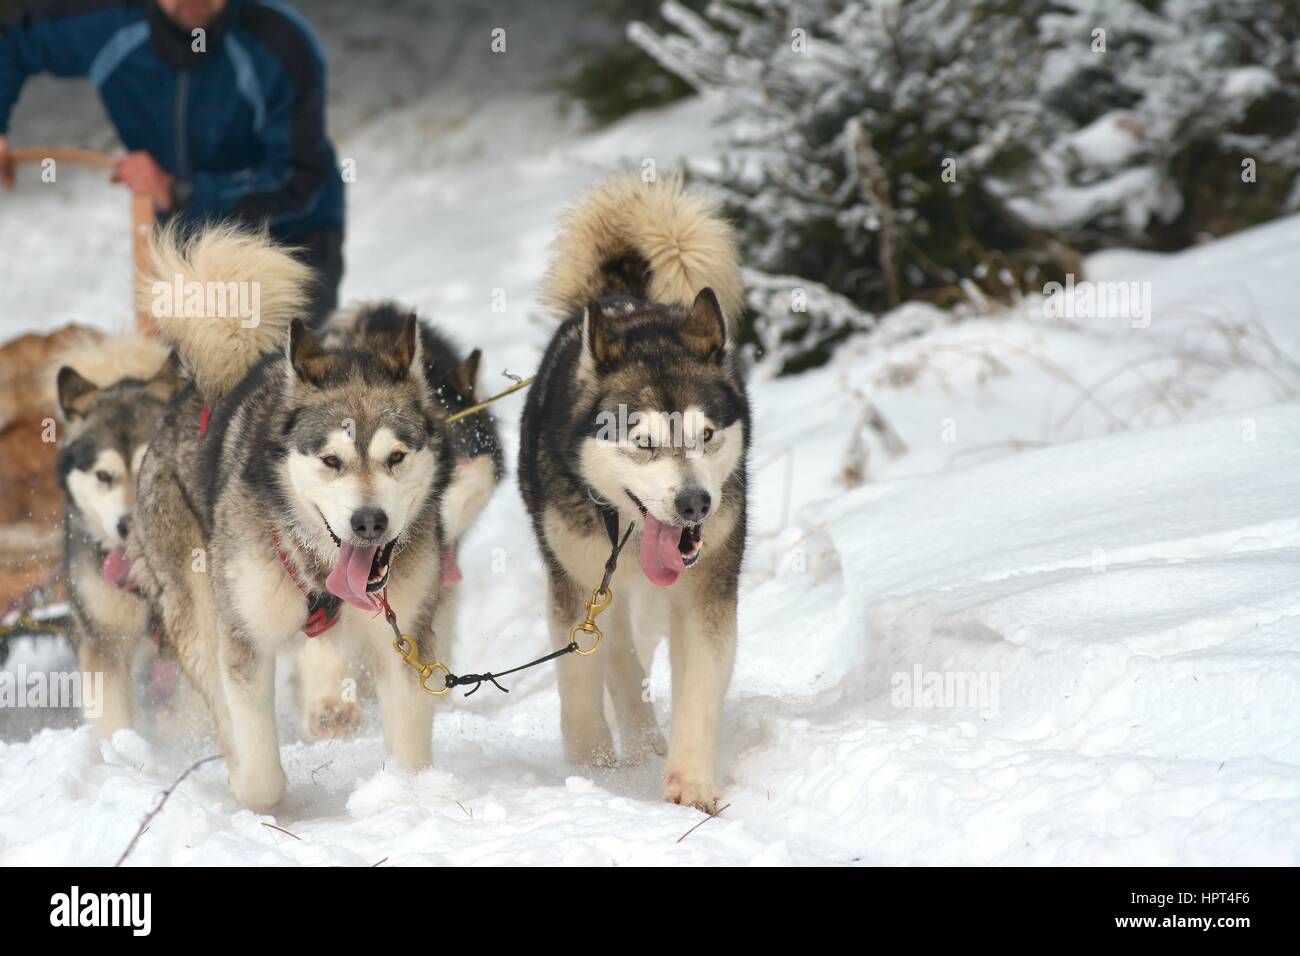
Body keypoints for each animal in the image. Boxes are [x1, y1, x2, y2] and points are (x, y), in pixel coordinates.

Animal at [132, 223, 457, 806]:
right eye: (331, 460)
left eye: (396, 457)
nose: (369, 522)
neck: (319, 568)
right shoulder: (245, 643)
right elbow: (259, 769)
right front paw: (254, 795)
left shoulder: (403, 639)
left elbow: (410, 747)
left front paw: (405, 796)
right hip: (198, 607)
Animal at [512, 174, 748, 816]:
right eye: (642, 442)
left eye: (706, 435)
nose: (695, 504)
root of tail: (620, 298)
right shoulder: (575, 580)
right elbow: (583, 676)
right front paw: (591, 766)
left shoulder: (706, 588)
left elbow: (699, 683)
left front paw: (690, 784)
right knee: (617, 651)